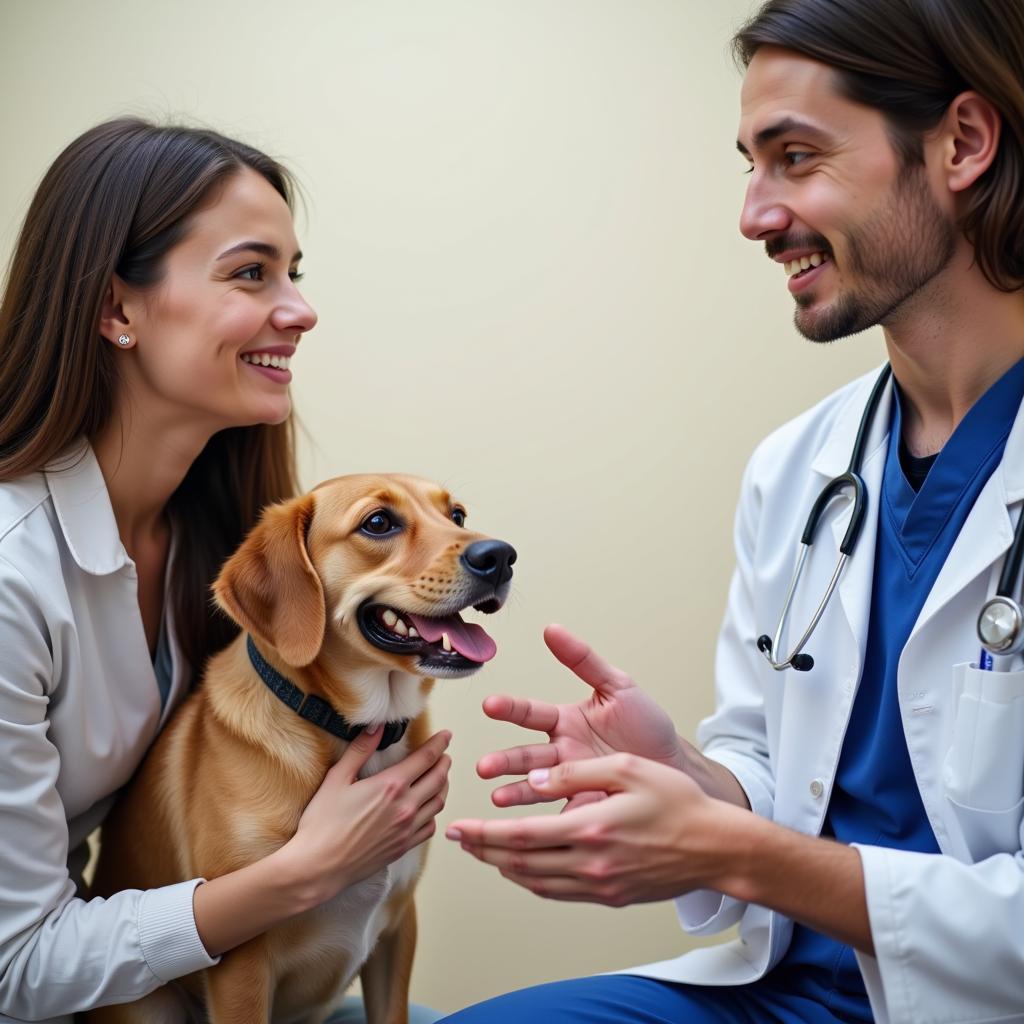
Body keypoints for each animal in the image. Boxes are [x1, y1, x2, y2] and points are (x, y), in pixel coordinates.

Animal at [87, 475, 516, 1024]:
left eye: (457, 515)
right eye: (379, 522)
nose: (501, 556)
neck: (355, 732)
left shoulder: (398, 931)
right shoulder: (241, 969)